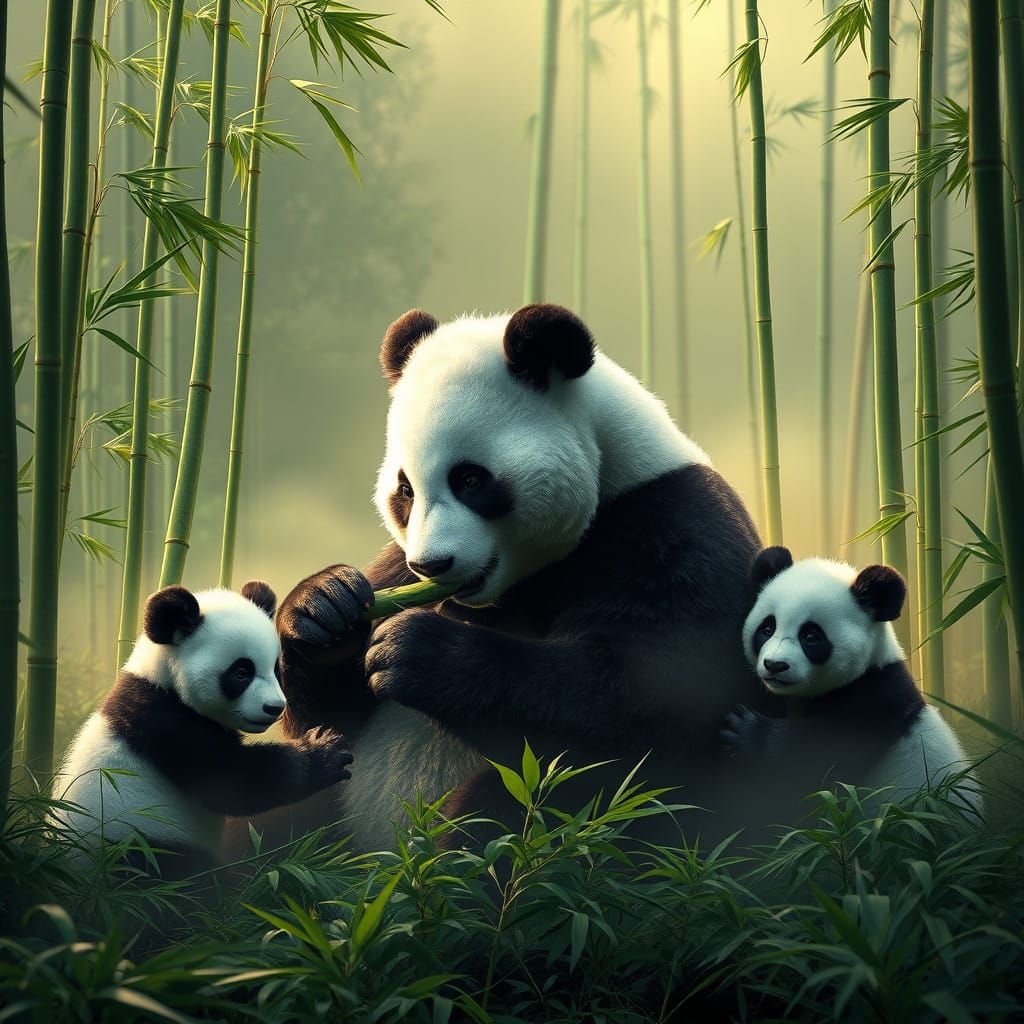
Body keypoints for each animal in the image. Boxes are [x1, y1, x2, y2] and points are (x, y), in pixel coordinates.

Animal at [53, 582, 353, 875]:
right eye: (241, 673)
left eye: (276, 670)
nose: (274, 708)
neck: (162, 679)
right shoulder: (164, 724)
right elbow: (230, 780)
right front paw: (325, 753)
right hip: (137, 841)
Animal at [270, 303, 766, 852]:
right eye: (405, 490)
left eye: (469, 479)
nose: (433, 566)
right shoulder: (397, 567)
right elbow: (329, 717)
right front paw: (324, 606)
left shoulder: (672, 527)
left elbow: (655, 699)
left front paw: (411, 651)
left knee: (521, 814)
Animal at [721, 546, 982, 816]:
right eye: (767, 629)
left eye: (811, 637)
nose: (775, 665)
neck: (869, 669)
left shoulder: (879, 700)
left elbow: (823, 751)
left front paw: (746, 730)